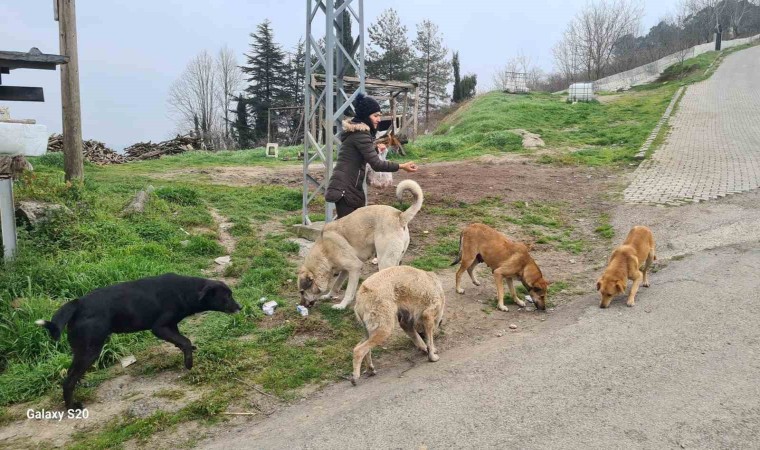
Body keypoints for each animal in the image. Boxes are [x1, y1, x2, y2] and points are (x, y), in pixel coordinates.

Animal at [36, 272, 240, 410]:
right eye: (227, 296)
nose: (240, 307)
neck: (186, 290)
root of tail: (78, 304)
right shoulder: (160, 327)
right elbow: (185, 341)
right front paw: (189, 363)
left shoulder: (171, 326)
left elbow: (182, 341)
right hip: (90, 350)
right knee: (68, 381)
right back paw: (71, 406)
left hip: (83, 350)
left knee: (72, 374)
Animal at [300, 179, 424, 310]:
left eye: (302, 292)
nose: (301, 305)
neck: (324, 248)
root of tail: (399, 215)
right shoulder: (345, 270)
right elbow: (336, 284)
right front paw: (329, 296)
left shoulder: (355, 267)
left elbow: (349, 292)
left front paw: (342, 305)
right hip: (395, 261)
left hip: (384, 261)